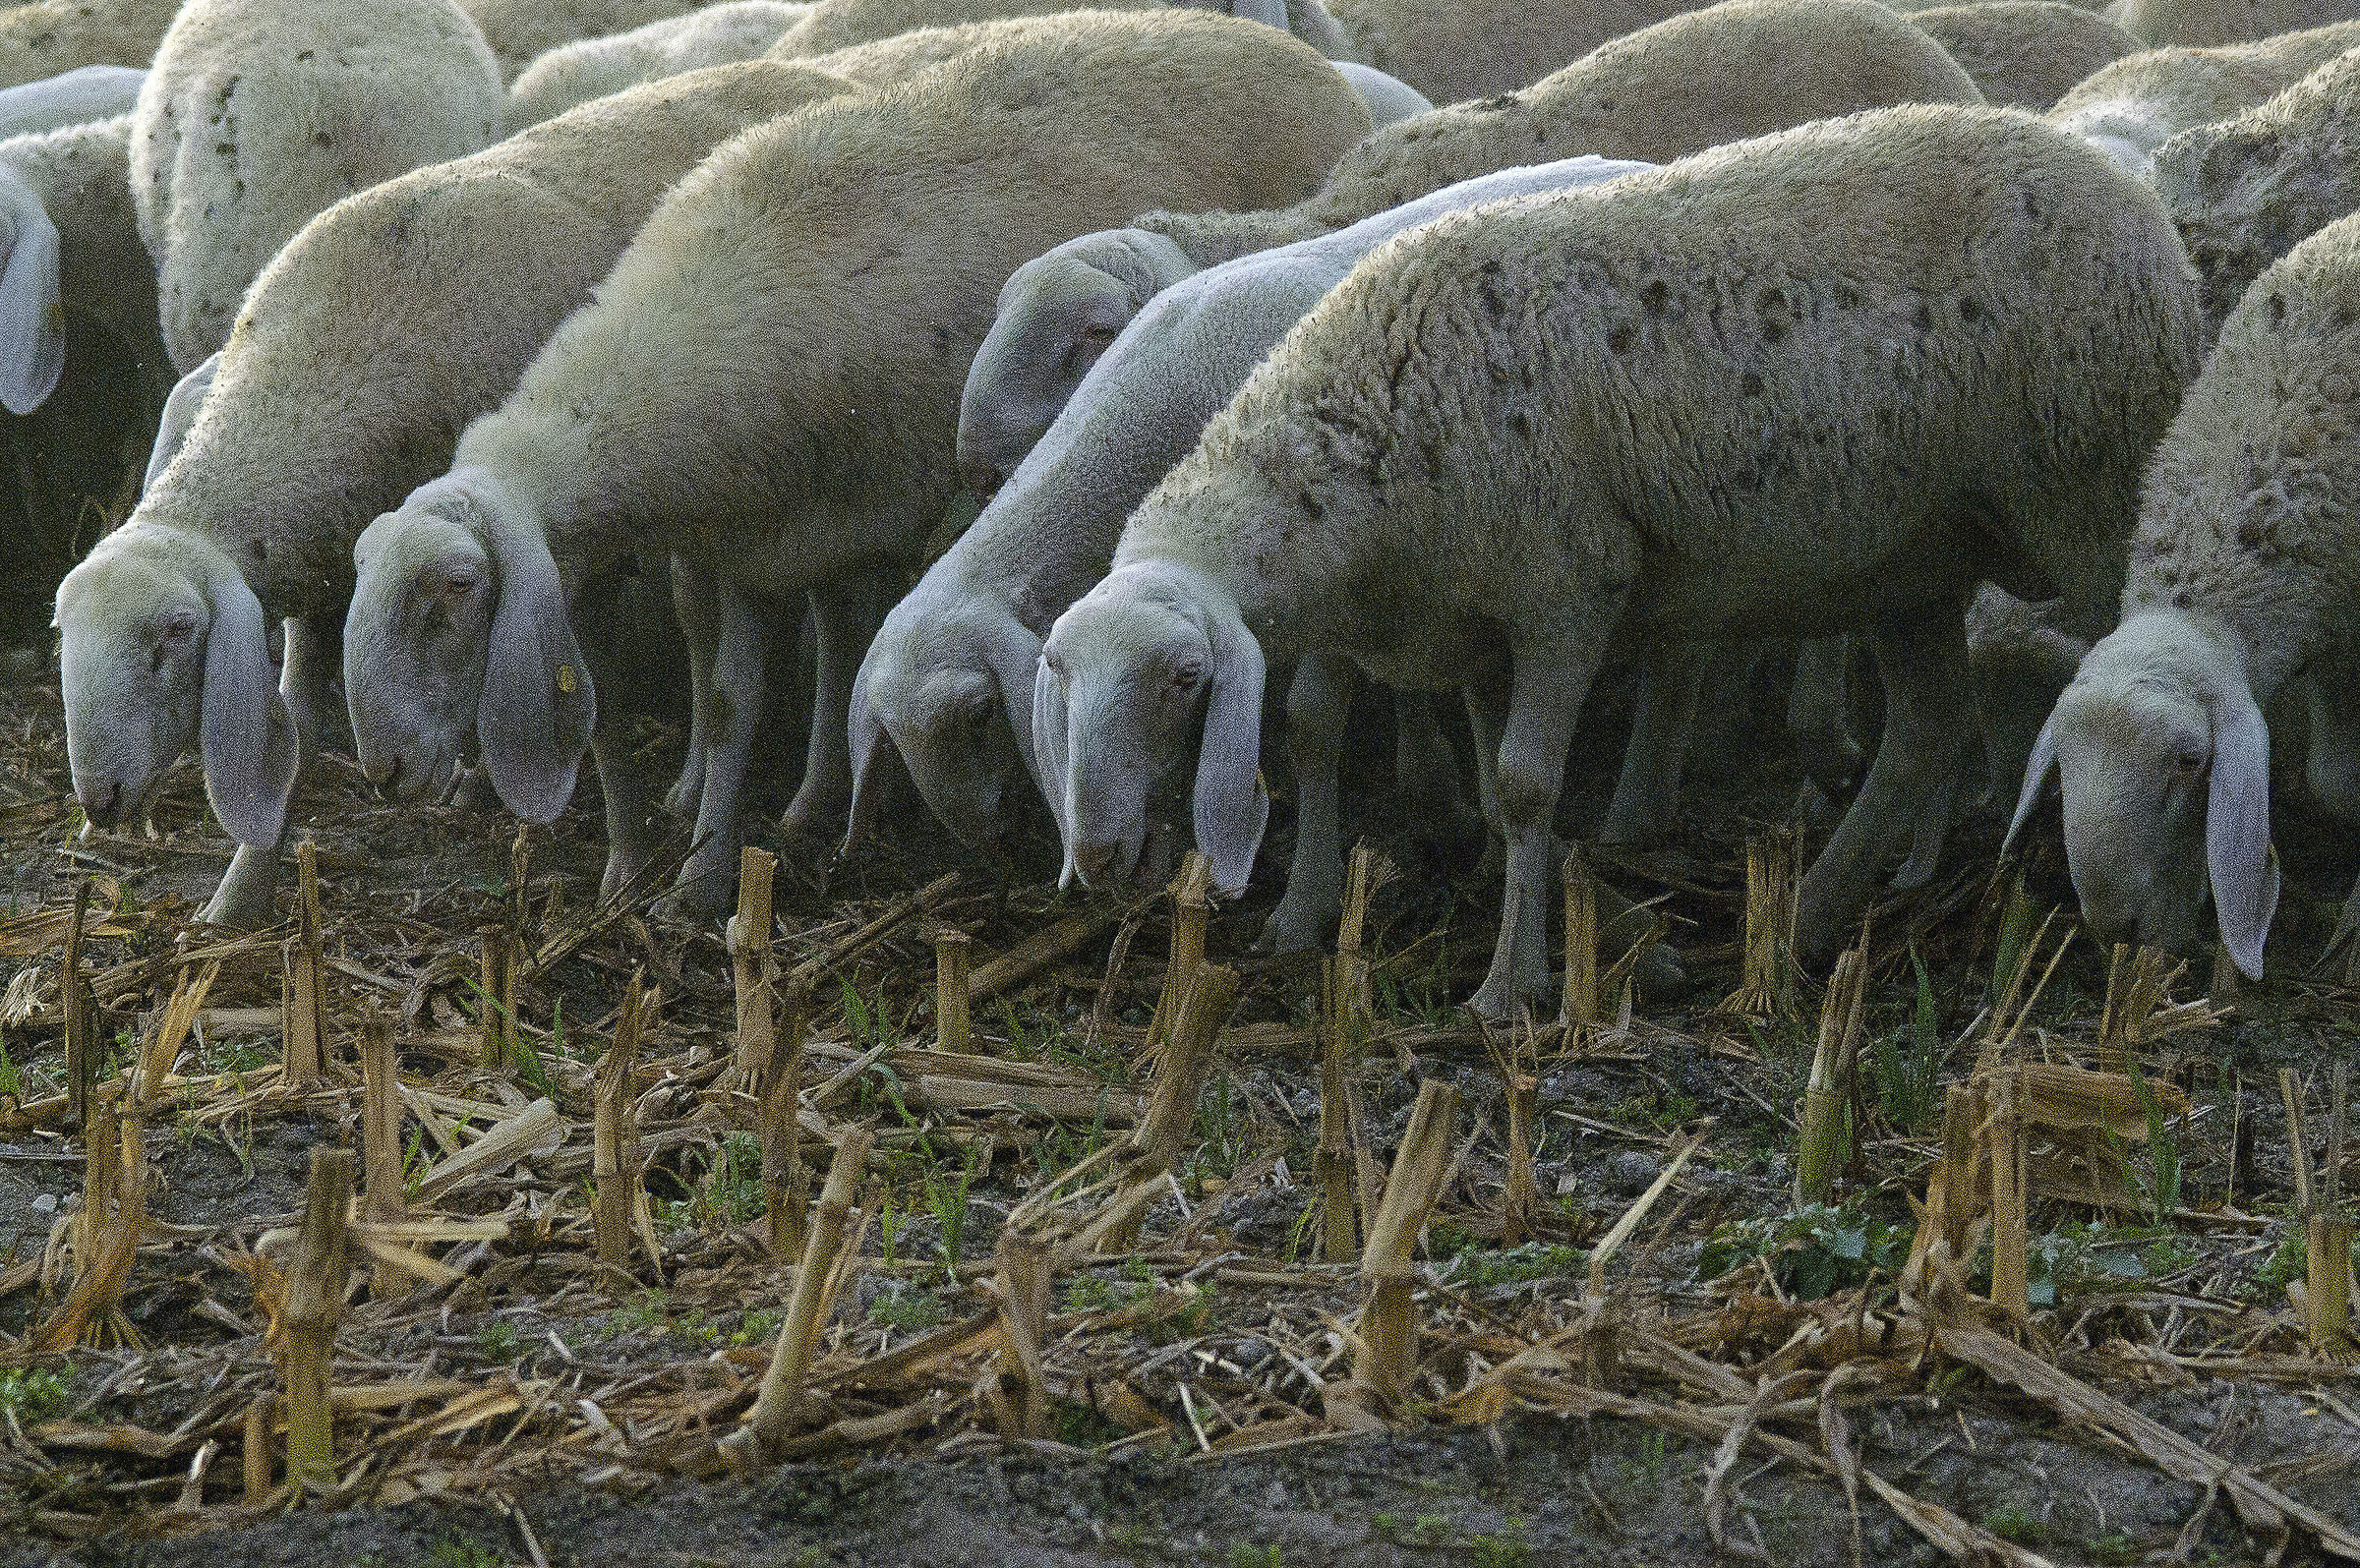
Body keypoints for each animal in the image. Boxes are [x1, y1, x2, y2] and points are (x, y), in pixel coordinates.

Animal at [55, 59, 860, 929]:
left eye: (174, 633)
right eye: (64, 630)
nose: (99, 798)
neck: (330, 368)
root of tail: (813, 73)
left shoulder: (570, 550)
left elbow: (602, 707)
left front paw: (627, 864)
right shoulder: (322, 568)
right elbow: (296, 724)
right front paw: (240, 894)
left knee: (827, 608)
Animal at [1037, 104, 2202, 1019]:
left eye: (1184, 679)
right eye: (1062, 676)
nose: (1096, 857)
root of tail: (2144, 210)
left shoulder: (1568, 584)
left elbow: (1521, 782)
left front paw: (1510, 987)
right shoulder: (1475, 619)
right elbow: (1496, 773)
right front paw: (1564, 919)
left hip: (2090, 492)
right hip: (1913, 551)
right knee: (1922, 727)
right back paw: (1804, 921)